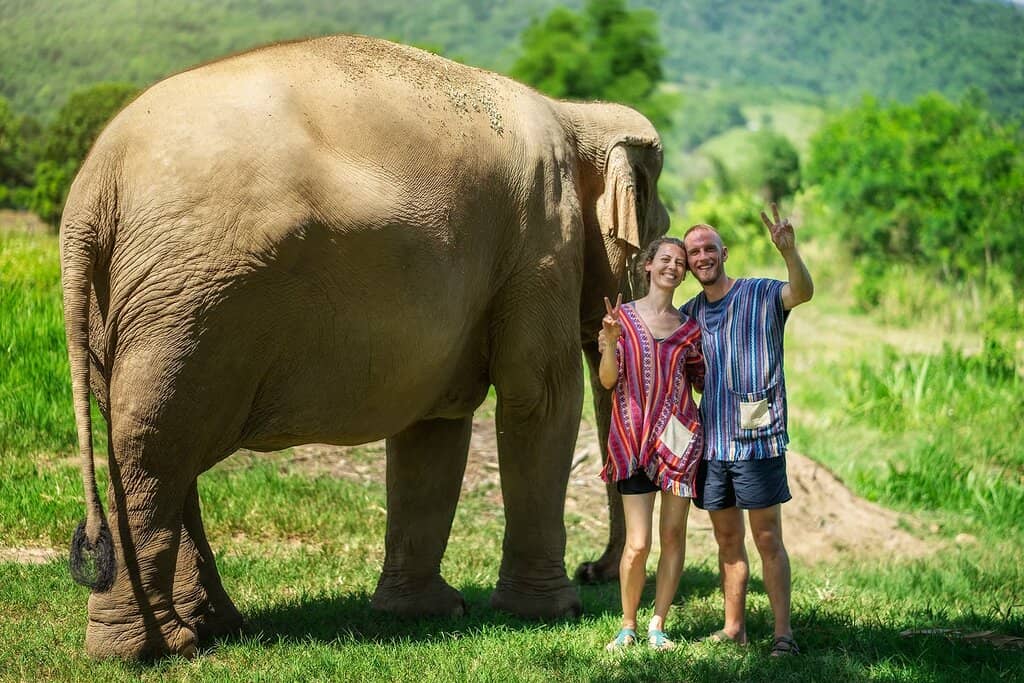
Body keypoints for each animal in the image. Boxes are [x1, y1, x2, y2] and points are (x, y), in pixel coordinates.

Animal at [60, 34, 668, 660]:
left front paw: (425, 612)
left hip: (133, 308)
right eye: (653, 240)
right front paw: (550, 612)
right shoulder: (544, 240)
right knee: (155, 445)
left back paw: (207, 631)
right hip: (188, 301)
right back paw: (144, 649)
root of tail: (94, 188)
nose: (594, 570)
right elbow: (540, 398)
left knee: (152, 448)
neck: (576, 115)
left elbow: (434, 423)